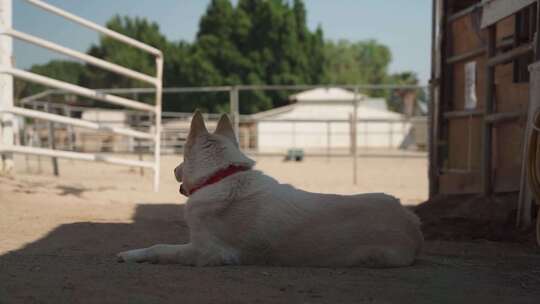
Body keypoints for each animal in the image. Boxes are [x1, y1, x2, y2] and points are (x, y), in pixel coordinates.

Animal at [117, 111, 422, 266]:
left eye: (181, 156)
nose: (174, 170)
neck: (221, 177)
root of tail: (411, 220)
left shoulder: (208, 252)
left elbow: (160, 247)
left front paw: (131, 254)